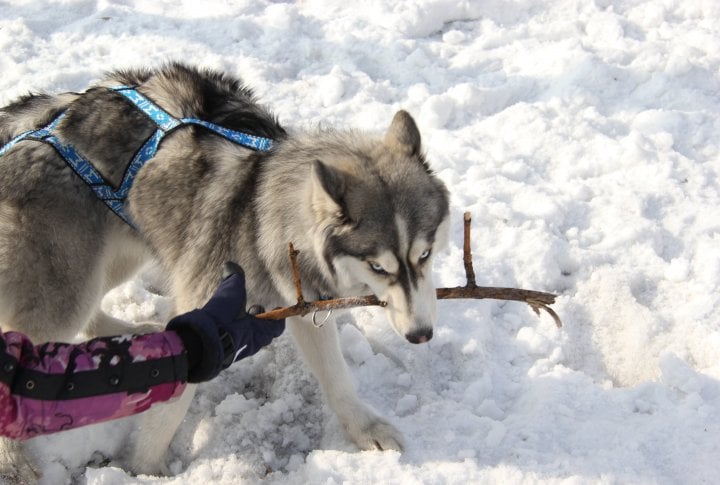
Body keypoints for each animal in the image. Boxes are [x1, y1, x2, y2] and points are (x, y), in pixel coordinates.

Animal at [0, 63, 448, 480]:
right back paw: (15, 460)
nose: (421, 335)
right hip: (69, 289)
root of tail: (52, 113)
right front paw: (143, 472)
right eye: (378, 266)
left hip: (119, 253)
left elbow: (337, 378)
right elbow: (168, 409)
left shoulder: (300, 307)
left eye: (425, 255)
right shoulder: (202, 308)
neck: (263, 213)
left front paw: (364, 427)